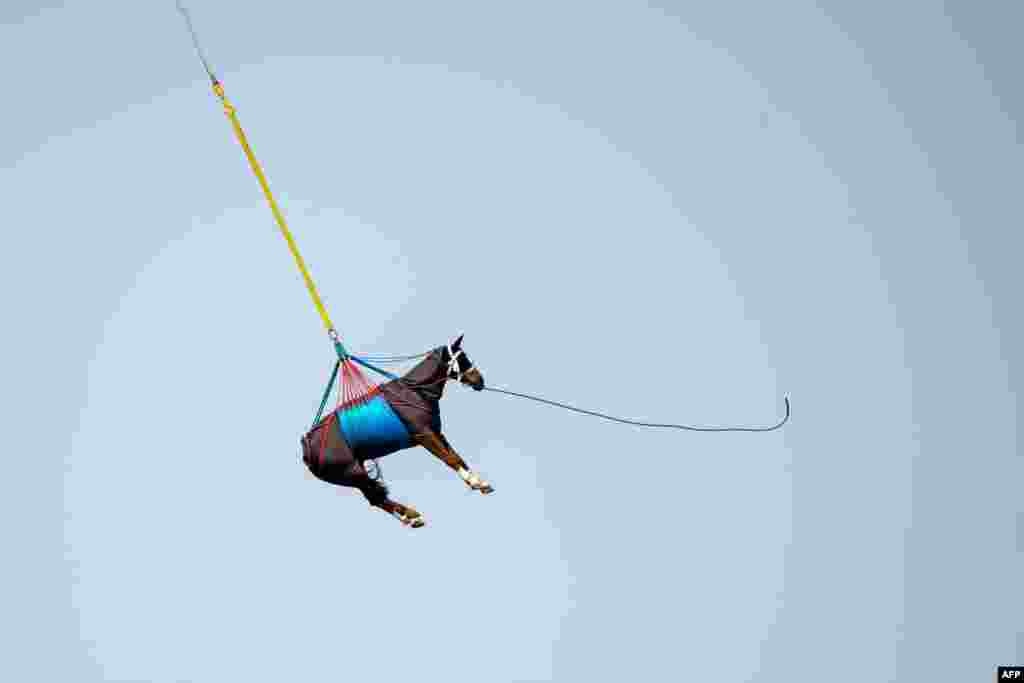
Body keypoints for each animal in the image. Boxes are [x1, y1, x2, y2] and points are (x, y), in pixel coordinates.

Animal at [300, 334, 493, 528]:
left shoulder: (436, 433)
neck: (414, 392)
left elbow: (456, 457)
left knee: (375, 498)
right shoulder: (424, 435)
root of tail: (307, 446)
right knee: (375, 497)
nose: (480, 380)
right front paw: (474, 480)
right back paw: (410, 515)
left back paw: (409, 516)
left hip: (354, 474)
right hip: (352, 473)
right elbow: (449, 459)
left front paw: (479, 482)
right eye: (463, 358)